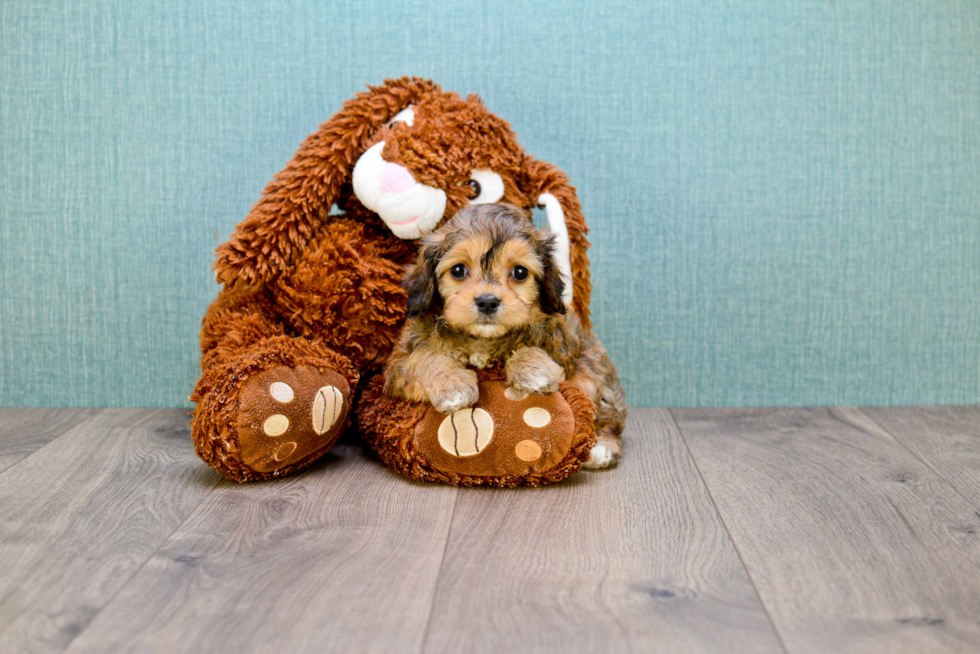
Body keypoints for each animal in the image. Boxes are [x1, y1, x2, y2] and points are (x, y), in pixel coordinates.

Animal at [384, 204, 628, 466]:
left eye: (520, 272)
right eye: (458, 270)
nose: (487, 302)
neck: (482, 340)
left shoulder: (559, 343)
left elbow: (531, 348)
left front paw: (533, 371)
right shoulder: (399, 364)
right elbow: (426, 358)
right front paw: (452, 385)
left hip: (592, 374)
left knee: (607, 414)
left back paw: (602, 447)